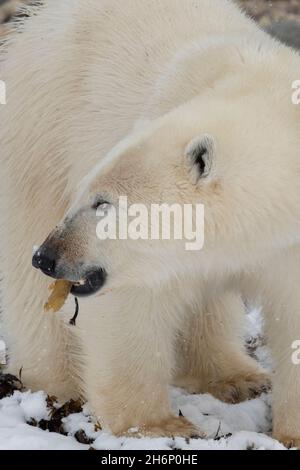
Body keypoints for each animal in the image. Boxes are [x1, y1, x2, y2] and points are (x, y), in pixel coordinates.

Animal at [1, 0, 300, 446]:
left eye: (103, 203)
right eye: (88, 194)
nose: (48, 256)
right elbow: (131, 307)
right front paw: (159, 425)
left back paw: (238, 378)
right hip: (39, 146)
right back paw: (58, 388)